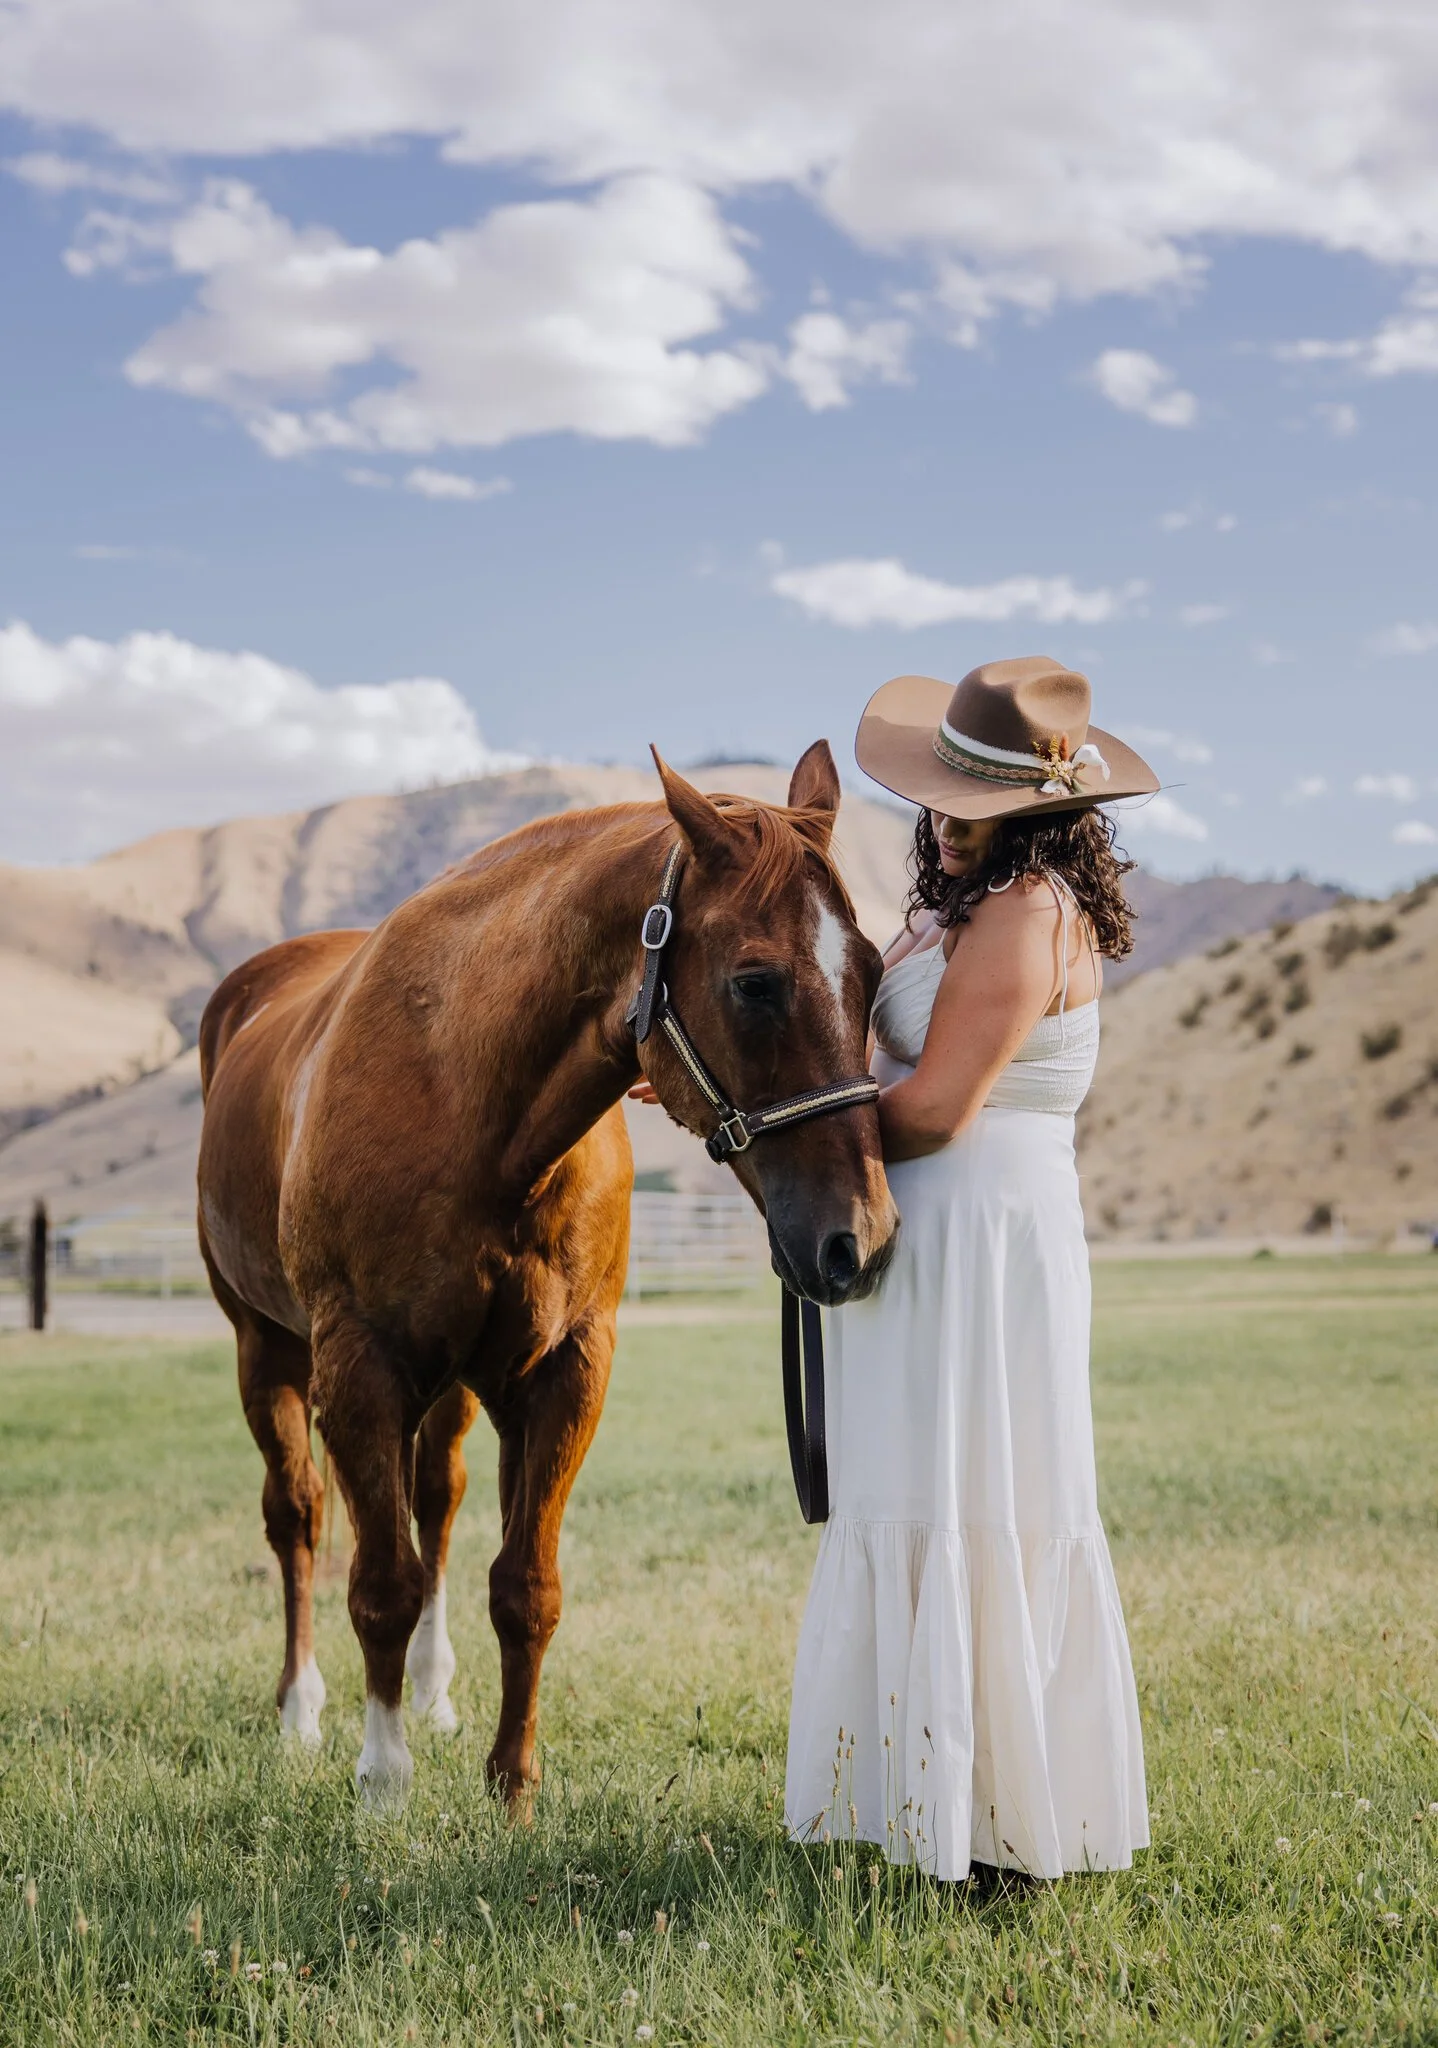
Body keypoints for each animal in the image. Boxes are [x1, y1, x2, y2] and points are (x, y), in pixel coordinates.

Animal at [196, 743, 898, 1804]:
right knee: (302, 1518)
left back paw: (435, 1693)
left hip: (450, 1388)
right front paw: (384, 1778)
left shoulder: (564, 1368)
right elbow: (381, 1584)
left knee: (436, 1504)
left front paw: (513, 1782)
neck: (465, 1095)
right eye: (755, 983)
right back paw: (302, 1709)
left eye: (873, 970)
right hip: (265, 1350)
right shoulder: (357, 1370)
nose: (860, 1238)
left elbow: (524, 1586)